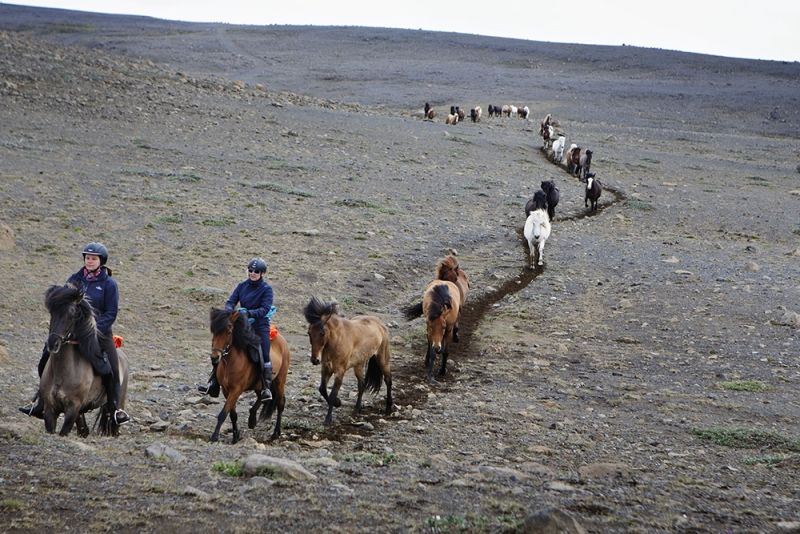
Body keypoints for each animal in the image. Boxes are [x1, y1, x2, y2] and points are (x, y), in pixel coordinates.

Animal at [209, 308, 290, 446]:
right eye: (213, 331)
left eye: (229, 332)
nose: (215, 357)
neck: (231, 361)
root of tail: (281, 339)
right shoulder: (226, 390)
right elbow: (232, 415)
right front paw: (235, 437)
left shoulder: (236, 390)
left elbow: (223, 413)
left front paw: (214, 436)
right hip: (259, 385)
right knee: (262, 397)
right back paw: (252, 419)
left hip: (280, 381)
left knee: (280, 404)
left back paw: (275, 433)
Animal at [304, 298, 392, 428]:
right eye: (309, 333)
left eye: (322, 333)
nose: (315, 360)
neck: (336, 340)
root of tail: (380, 324)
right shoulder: (326, 368)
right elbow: (322, 389)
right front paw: (338, 403)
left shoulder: (340, 371)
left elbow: (332, 394)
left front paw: (328, 418)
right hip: (359, 365)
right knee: (362, 384)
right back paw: (357, 408)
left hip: (383, 359)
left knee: (388, 380)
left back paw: (389, 408)